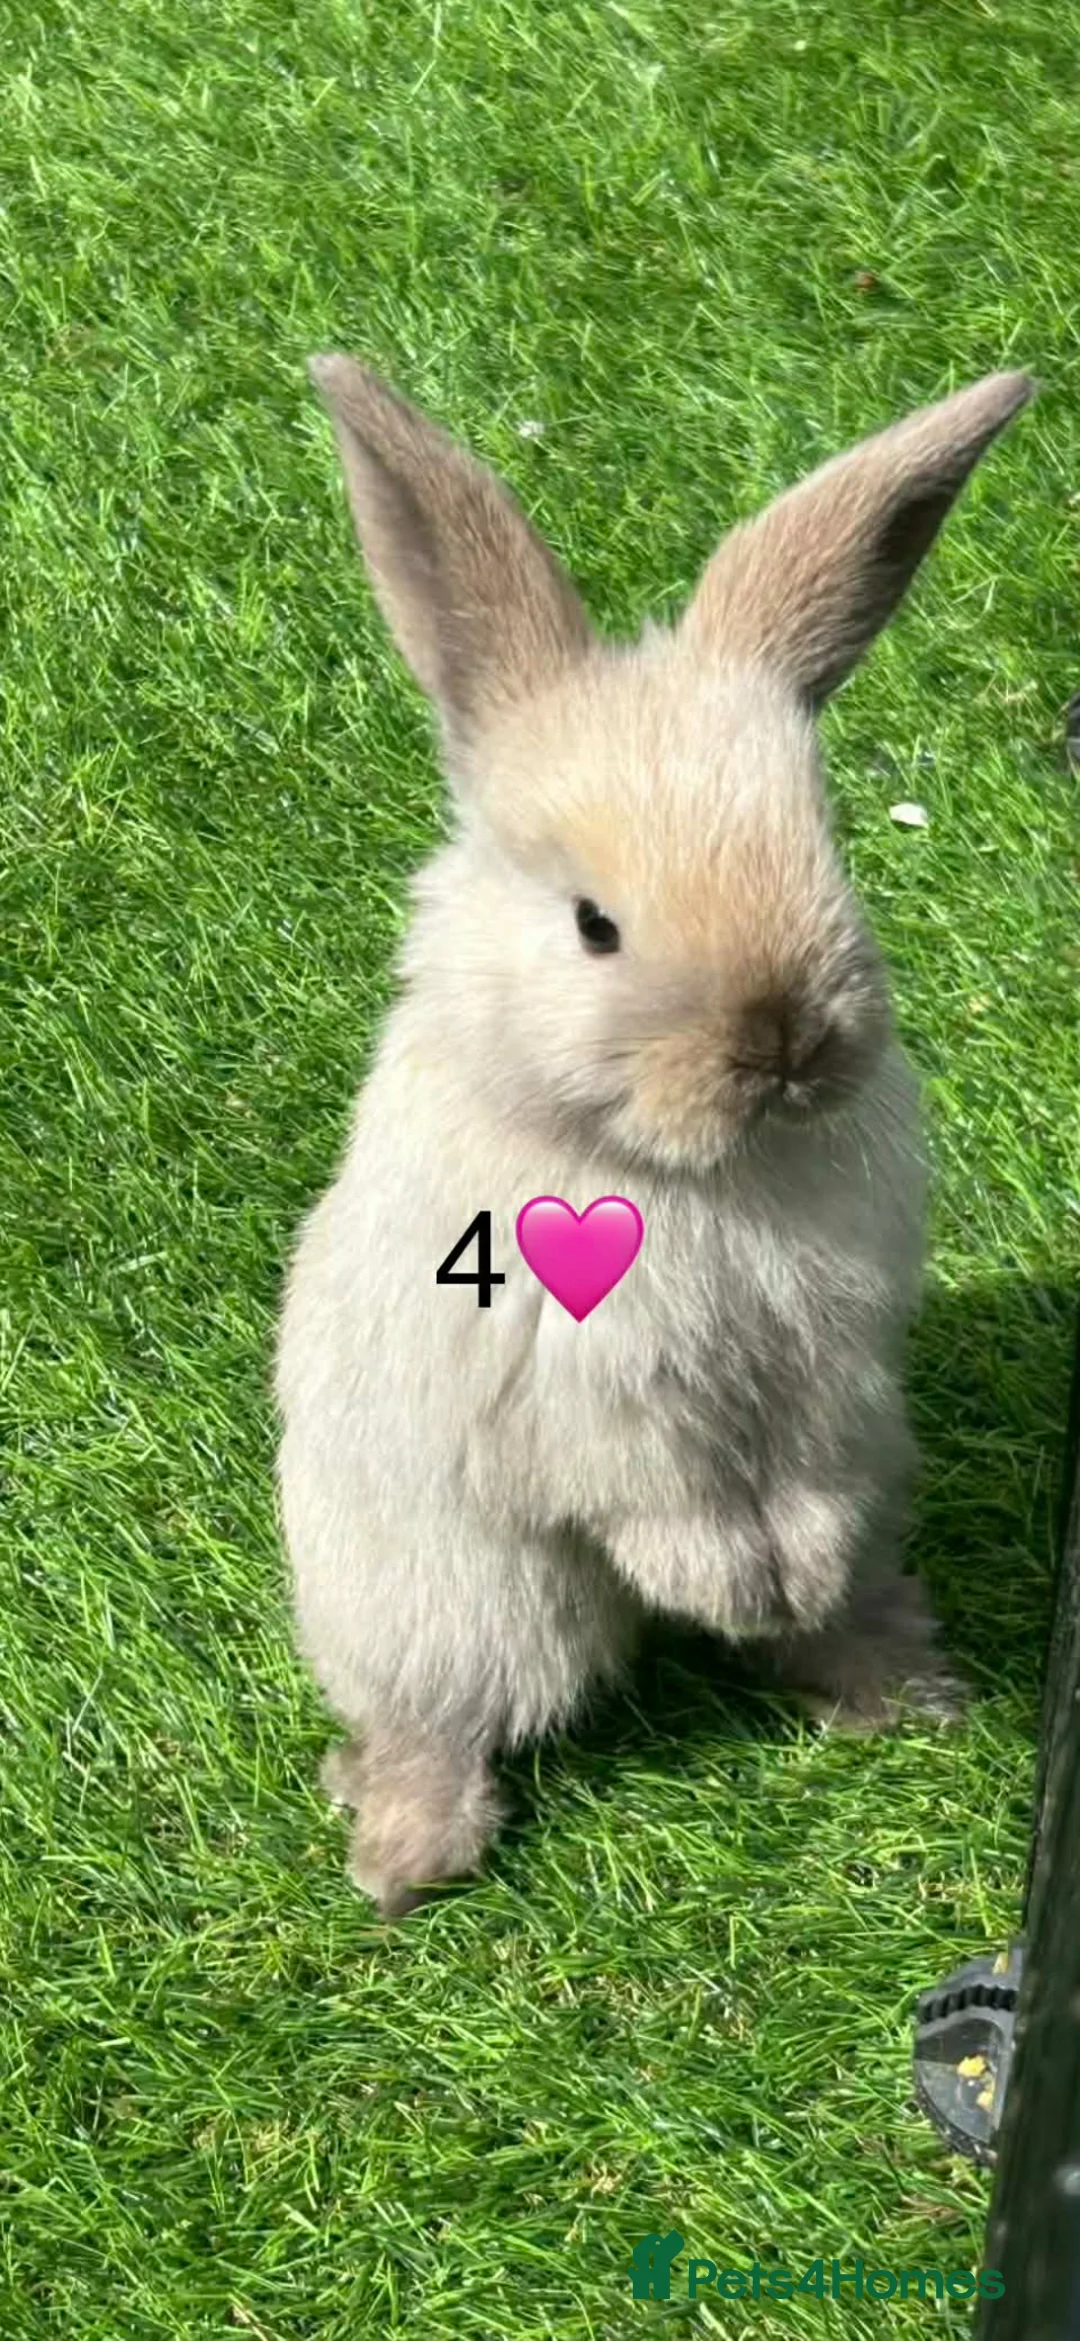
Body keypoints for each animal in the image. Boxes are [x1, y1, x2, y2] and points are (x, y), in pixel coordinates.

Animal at [274, 356, 1032, 1914]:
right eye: (595, 925)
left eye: (826, 854)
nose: (787, 1045)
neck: (689, 1171)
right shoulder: (587, 1390)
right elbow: (656, 1492)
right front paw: (724, 1584)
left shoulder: (824, 1367)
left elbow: (792, 1480)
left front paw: (779, 1582)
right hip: (460, 1601)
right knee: (441, 1717)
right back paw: (402, 1856)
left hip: (881, 1479)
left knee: (843, 1600)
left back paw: (895, 1688)